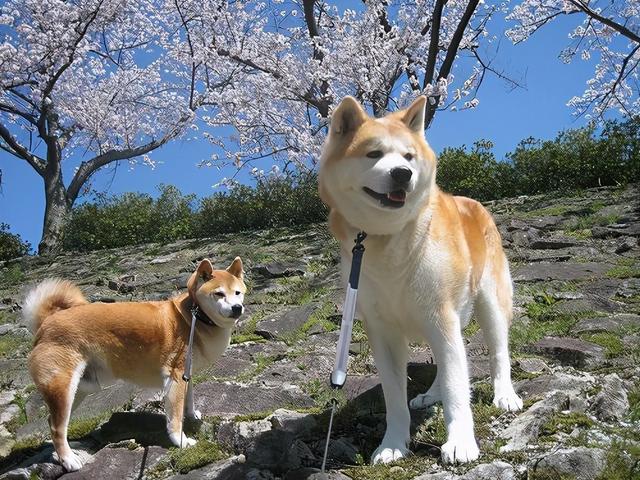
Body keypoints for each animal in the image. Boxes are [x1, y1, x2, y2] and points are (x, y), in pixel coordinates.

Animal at [23, 256, 246, 470]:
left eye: (237, 293)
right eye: (219, 294)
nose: (237, 308)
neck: (194, 317)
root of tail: (46, 323)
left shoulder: (186, 375)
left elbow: (188, 401)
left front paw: (192, 415)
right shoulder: (174, 377)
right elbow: (174, 418)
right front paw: (181, 441)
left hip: (81, 388)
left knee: (53, 421)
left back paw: (72, 448)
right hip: (64, 387)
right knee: (57, 427)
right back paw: (68, 459)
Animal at [318, 95, 524, 464]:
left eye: (408, 156)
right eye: (374, 154)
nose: (403, 174)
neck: (386, 238)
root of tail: (469, 200)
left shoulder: (440, 315)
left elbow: (458, 386)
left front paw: (460, 441)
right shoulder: (383, 330)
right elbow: (395, 398)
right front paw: (393, 444)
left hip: (489, 303)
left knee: (497, 352)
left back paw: (504, 395)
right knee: (446, 362)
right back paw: (431, 394)